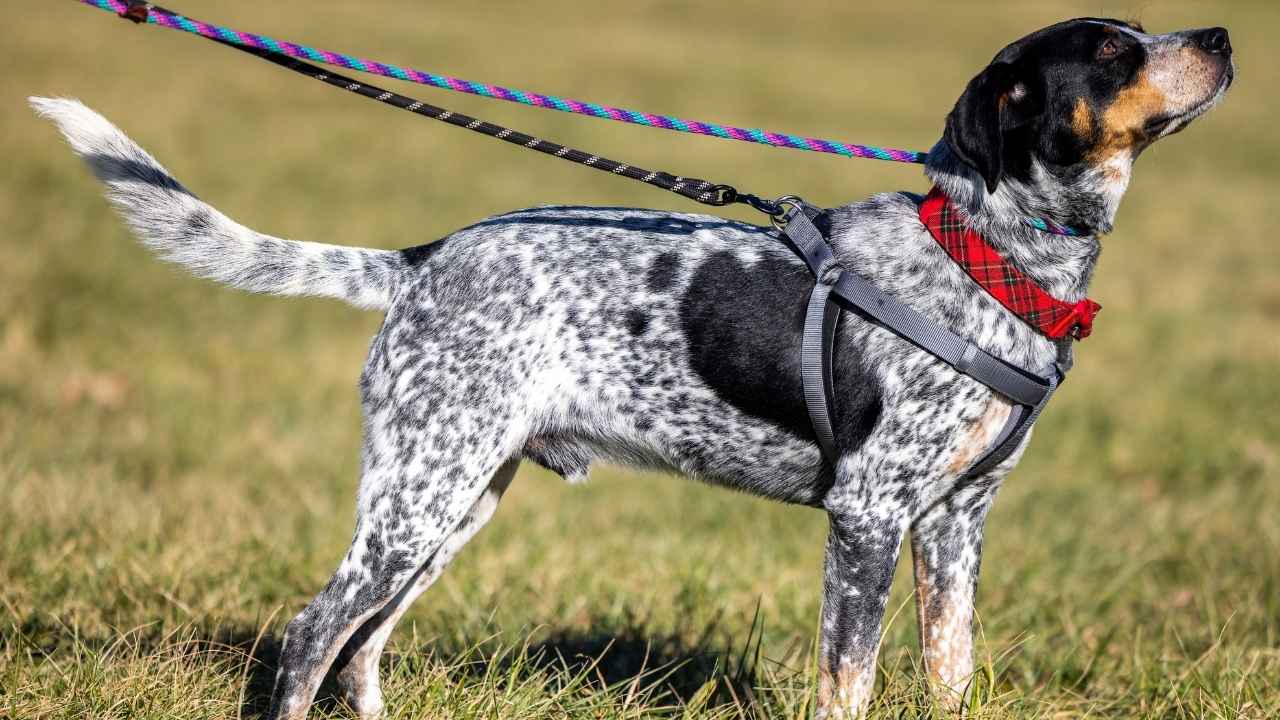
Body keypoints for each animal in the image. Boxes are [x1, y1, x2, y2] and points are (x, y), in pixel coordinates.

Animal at [32, 15, 1228, 717]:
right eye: (1112, 50)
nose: (1219, 30)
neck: (992, 255)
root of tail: (417, 261)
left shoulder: (957, 522)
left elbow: (951, 672)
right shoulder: (869, 516)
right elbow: (847, 678)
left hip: (454, 497)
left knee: (360, 647)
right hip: (419, 500)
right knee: (310, 636)